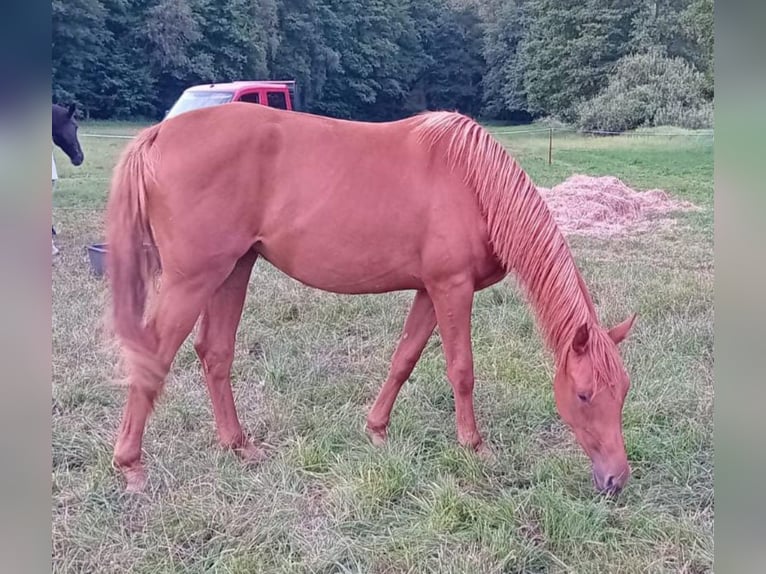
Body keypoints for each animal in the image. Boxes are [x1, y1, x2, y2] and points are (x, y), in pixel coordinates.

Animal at [105, 103, 637, 494]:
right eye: (584, 395)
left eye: (624, 392)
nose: (616, 479)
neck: (473, 184)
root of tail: (158, 134)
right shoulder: (452, 288)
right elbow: (461, 370)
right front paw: (474, 446)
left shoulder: (429, 290)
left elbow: (404, 358)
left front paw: (377, 429)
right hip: (193, 279)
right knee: (155, 356)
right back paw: (131, 465)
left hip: (233, 269)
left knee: (215, 353)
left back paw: (238, 446)